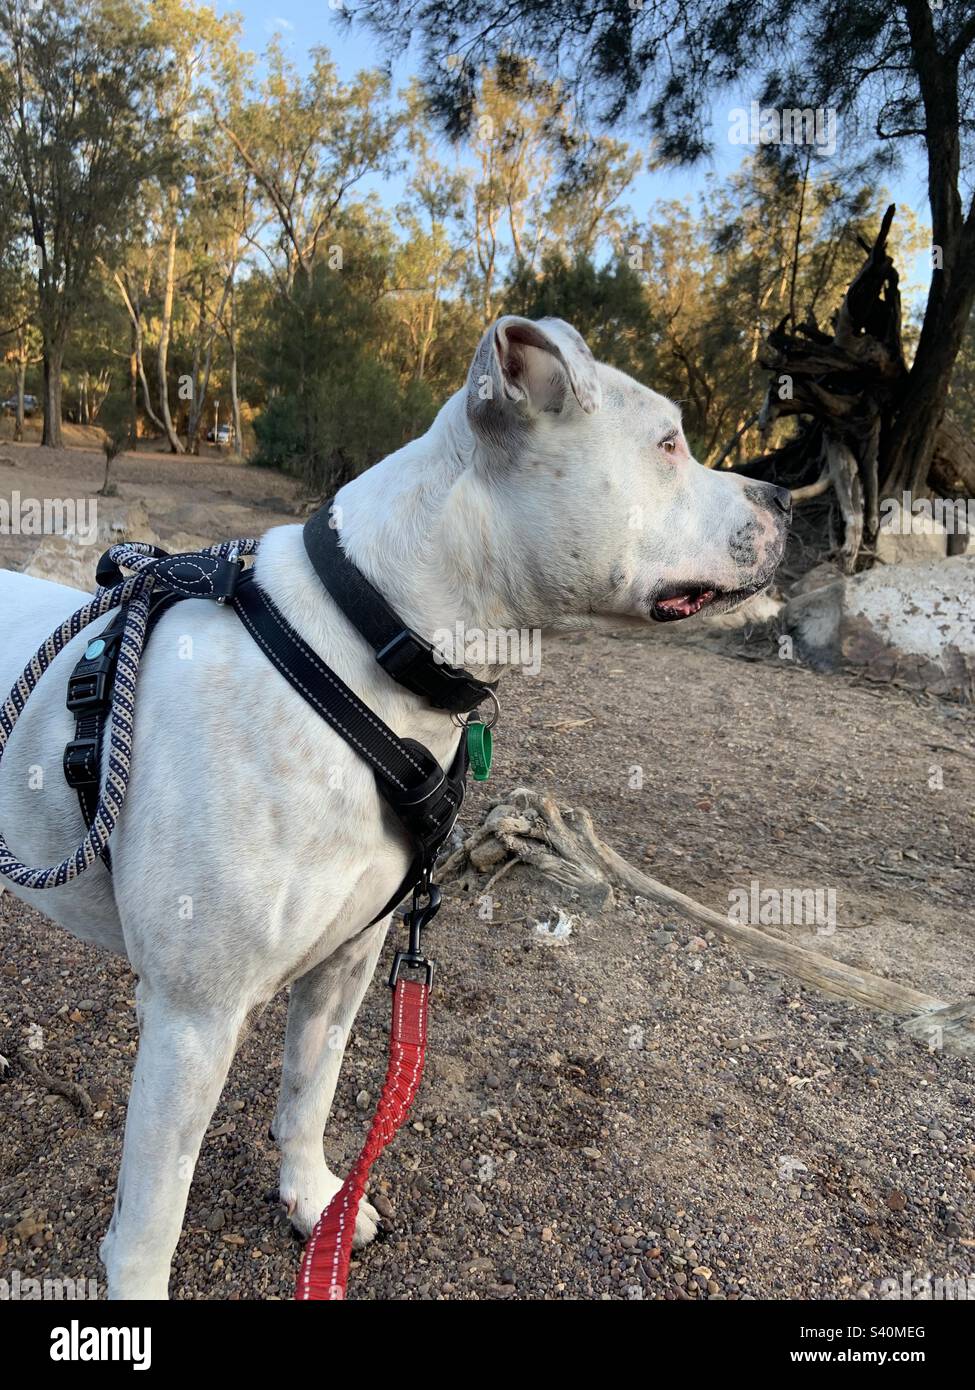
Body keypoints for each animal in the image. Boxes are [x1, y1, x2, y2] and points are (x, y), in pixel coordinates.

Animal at [0, 319, 784, 1295]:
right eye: (668, 444)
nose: (783, 495)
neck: (366, 644)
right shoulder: (191, 1019)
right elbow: (152, 1216)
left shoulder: (348, 961)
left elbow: (310, 1093)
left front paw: (312, 1205)